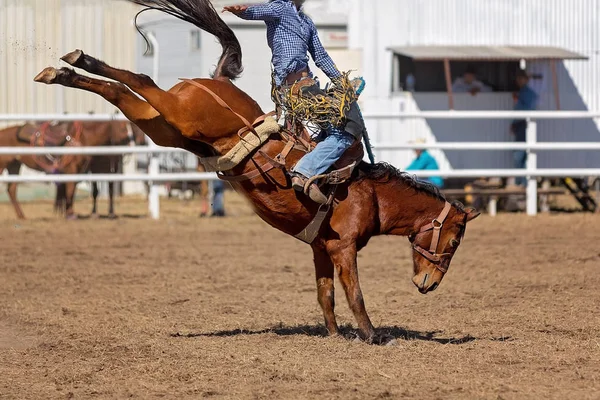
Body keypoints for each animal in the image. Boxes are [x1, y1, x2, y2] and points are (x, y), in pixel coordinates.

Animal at [35, 0, 480, 344]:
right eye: (455, 239)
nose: (429, 284)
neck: (368, 193)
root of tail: (215, 79)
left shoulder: (321, 248)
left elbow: (325, 294)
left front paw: (335, 335)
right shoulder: (343, 248)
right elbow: (355, 293)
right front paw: (372, 335)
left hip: (165, 126)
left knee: (123, 92)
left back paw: (64, 70)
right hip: (178, 113)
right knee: (141, 78)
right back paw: (73, 62)